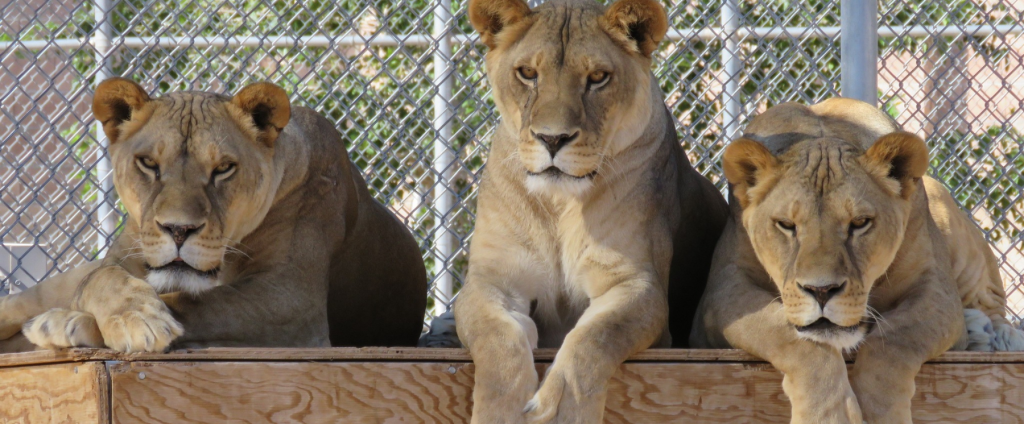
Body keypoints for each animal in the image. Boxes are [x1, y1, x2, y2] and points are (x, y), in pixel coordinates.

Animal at [0, 78, 428, 352]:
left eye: (223, 168)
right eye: (148, 164)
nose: (178, 230)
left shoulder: (292, 302)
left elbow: (194, 304)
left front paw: (73, 323)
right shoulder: (122, 260)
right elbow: (100, 278)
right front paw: (131, 315)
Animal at [452, 0, 729, 422]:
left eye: (598, 77)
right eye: (527, 73)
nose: (552, 139)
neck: (559, 203)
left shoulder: (636, 285)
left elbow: (593, 339)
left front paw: (561, 413)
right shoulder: (491, 281)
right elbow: (498, 340)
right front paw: (503, 411)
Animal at [691, 98, 1024, 424]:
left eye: (860, 223)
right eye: (786, 225)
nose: (822, 291)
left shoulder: (937, 291)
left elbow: (895, 340)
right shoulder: (722, 294)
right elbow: (789, 336)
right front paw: (827, 415)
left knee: (992, 305)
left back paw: (993, 336)